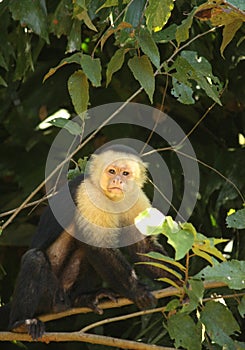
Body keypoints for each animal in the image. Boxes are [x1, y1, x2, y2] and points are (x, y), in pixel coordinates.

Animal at [2, 144, 174, 340]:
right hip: (48, 296)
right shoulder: (89, 194)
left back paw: (83, 298)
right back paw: (20, 324)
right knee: (35, 258)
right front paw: (137, 291)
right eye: (112, 171)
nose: (117, 181)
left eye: (125, 173)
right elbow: (98, 245)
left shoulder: (135, 197)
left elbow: (143, 248)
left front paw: (181, 282)